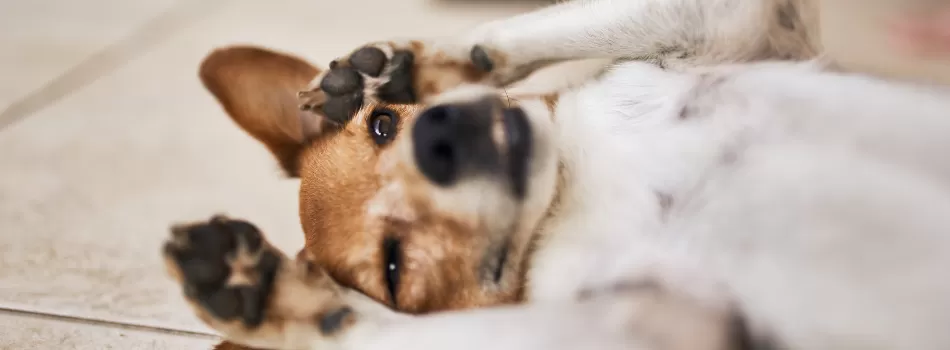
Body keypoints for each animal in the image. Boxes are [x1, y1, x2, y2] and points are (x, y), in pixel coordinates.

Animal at [165, 0, 950, 348]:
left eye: (384, 126)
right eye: (393, 265)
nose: (441, 136)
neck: (571, 180)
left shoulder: (726, 30)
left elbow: (579, 20)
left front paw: (405, 64)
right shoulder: (657, 321)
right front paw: (266, 293)